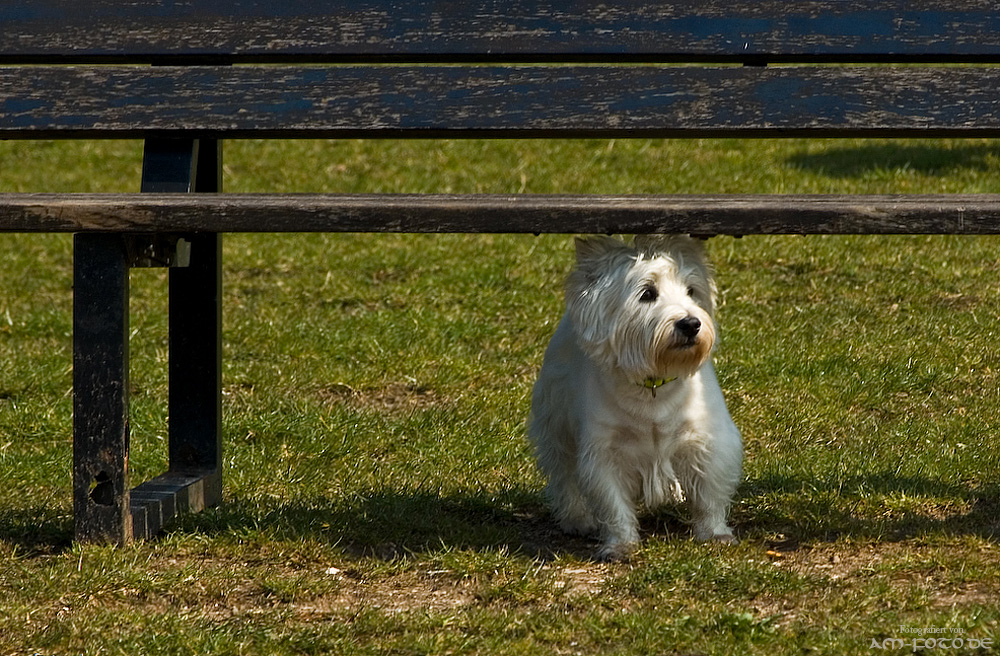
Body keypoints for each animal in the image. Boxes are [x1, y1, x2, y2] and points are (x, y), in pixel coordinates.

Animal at [532, 233, 744, 560]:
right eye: (647, 293)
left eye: (692, 291)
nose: (690, 324)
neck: (654, 386)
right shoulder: (604, 450)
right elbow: (612, 500)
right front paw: (621, 544)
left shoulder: (707, 439)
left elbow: (710, 488)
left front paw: (714, 533)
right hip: (556, 420)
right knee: (564, 473)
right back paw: (576, 519)